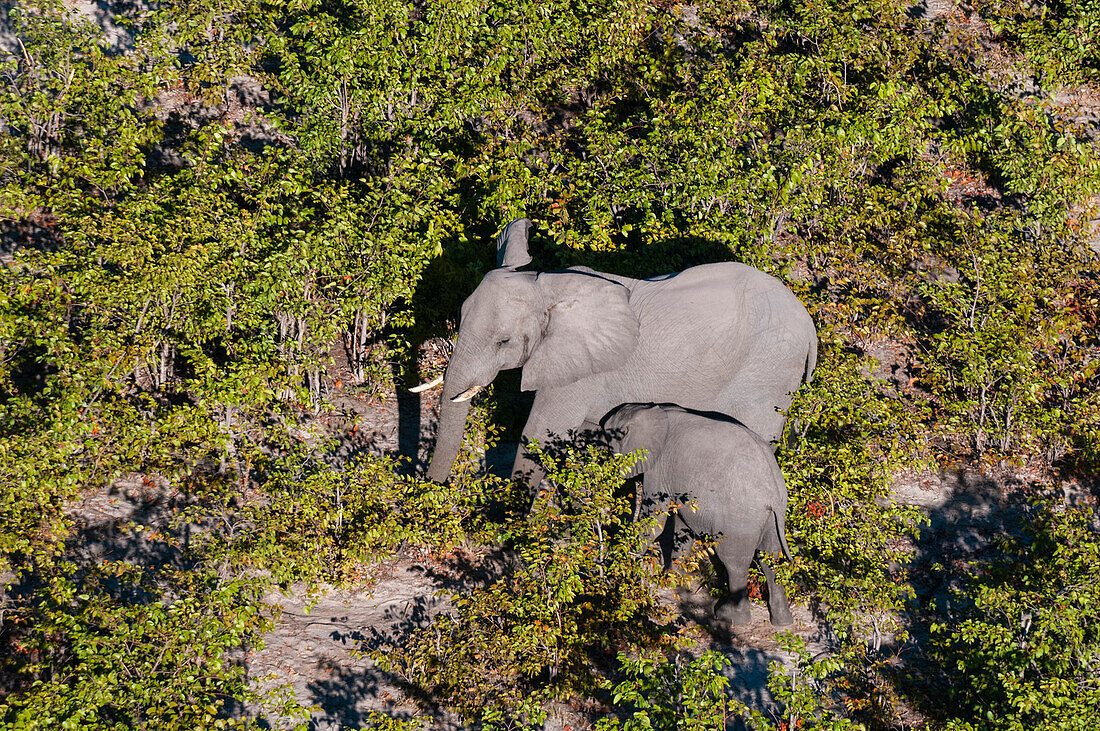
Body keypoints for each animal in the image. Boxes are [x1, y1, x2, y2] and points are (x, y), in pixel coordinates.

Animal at [413, 217, 818, 483]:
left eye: (503, 342)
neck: (549, 287)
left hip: (768, 372)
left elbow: (540, 432)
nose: (430, 491)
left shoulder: (580, 370)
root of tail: (811, 328)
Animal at [598, 402, 796, 624]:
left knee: (735, 562)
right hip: (772, 517)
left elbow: (655, 520)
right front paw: (671, 581)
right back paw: (782, 622)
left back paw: (730, 617)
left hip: (740, 520)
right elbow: (682, 526)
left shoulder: (659, 468)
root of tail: (773, 492)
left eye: (610, 443)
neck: (649, 409)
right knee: (771, 558)